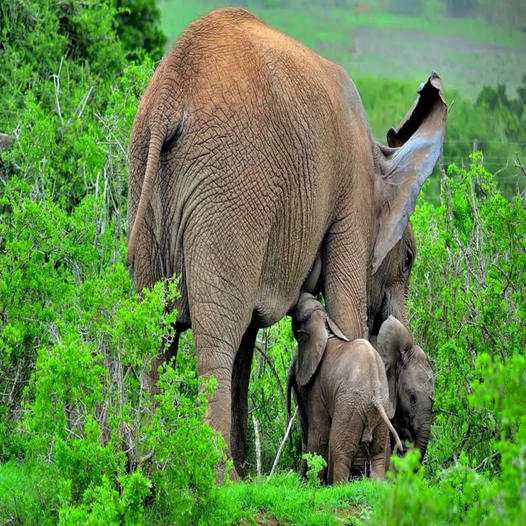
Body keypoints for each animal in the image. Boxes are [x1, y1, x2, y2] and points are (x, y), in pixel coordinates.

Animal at [286, 294, 402, 484]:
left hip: (351, 407)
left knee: (339, 449)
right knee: (378, 453)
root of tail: (376, 399)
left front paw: (312, 484)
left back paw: (337, 486)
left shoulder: (317, 387)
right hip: (381, 412)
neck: (325, 325)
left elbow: (319, 432)